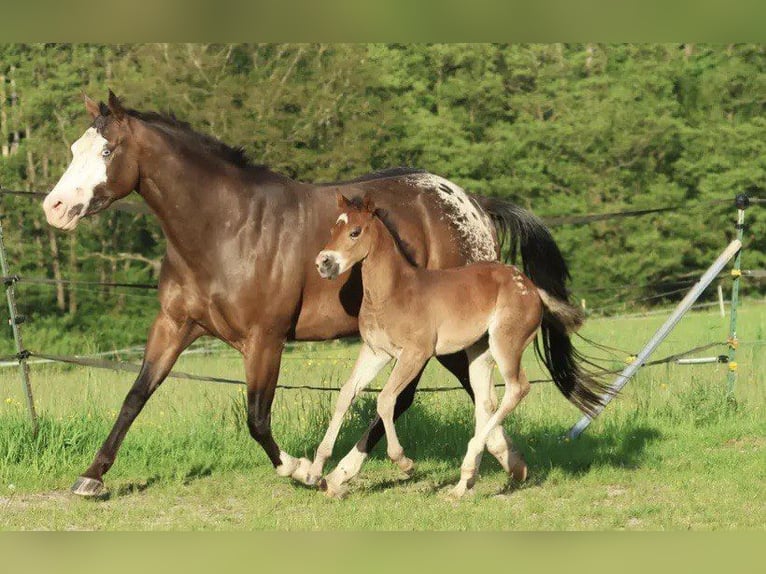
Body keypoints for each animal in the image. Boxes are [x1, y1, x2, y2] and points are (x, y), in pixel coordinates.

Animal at [316, 195, 584, 500]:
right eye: (333, 229)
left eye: (355, 232)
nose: (323, 263)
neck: (393, 292)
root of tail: (532, 289)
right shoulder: (375, 352)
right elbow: (346, 393)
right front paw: (317, 468)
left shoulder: (416, 354)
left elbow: (385, 399)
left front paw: (404, 462)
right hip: (479, 353)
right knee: (486, 401)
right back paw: (463, 483)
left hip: (506, 344)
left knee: (517, 388)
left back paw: (470, 467)